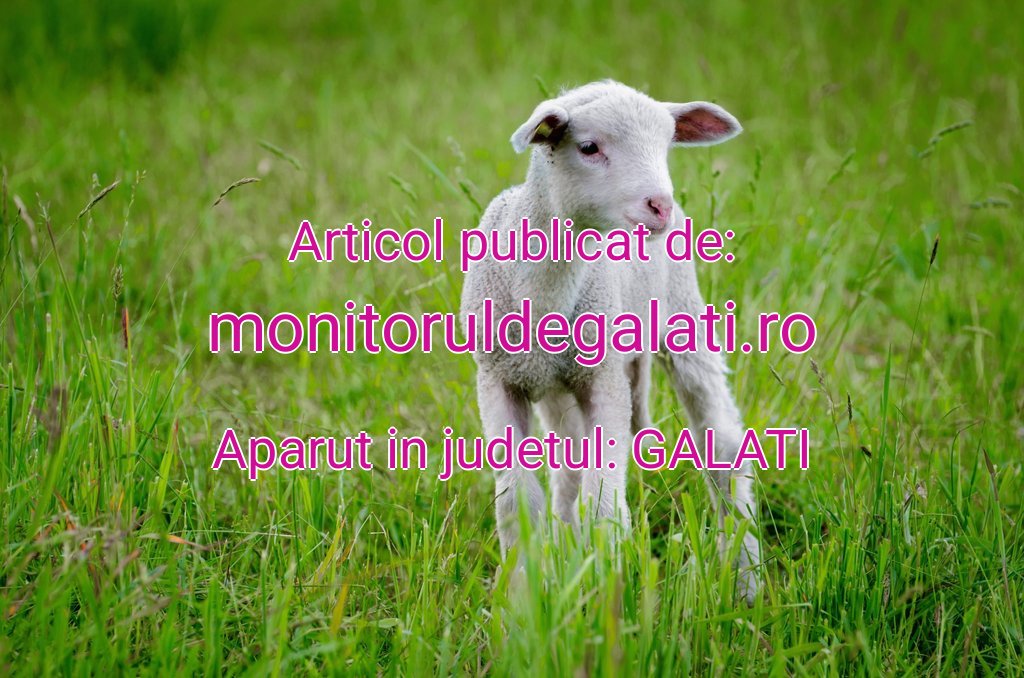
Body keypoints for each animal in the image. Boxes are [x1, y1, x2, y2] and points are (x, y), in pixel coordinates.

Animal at [460, 80, 760, 603]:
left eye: (666, 145)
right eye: (588, 148)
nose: (660, 205)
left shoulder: (605, 379)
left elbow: (603, 503)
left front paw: (606, 590)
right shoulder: (497, 378)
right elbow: (519, 501)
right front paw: (522, 597)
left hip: (680, 313)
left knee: (721, 442)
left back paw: (744, 577)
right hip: (561, 386)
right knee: (567, 470)